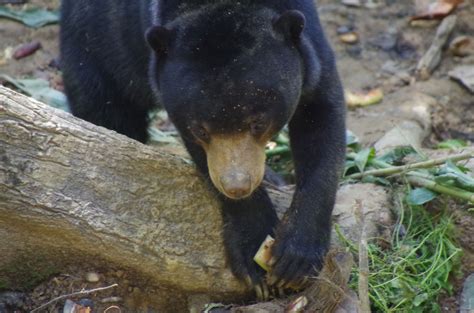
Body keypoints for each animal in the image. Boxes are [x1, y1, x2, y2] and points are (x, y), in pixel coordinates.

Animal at [61, 0, 346, 298]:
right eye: (201, 130)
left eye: (258, 123)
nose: (237, 186)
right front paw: (254, 257)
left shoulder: (312, 50)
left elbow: (322, 122)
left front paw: (294, 261)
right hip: (93, 53)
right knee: (107, 112)